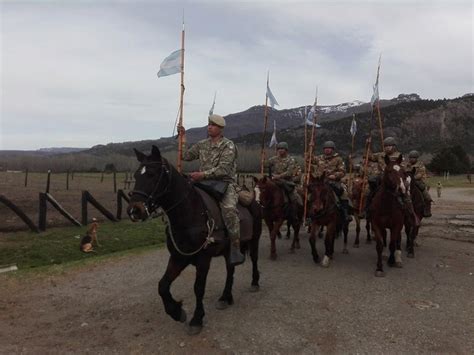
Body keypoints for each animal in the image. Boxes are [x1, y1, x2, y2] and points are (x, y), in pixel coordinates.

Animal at [127, 146, 262, 336]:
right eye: (136, 175)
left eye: (153, 174)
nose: (134, 210)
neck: (190, 214)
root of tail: (253, 200)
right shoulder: (178, 258)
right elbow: (162, 285)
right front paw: (176, 312)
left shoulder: (203, 260)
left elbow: (198, 288)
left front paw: (196, 319)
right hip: (228, 251)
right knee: (230, 269)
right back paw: (225, 297)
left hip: (254, 240)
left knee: (254, 260)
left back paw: (254, 283)